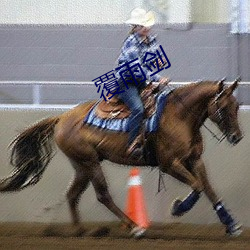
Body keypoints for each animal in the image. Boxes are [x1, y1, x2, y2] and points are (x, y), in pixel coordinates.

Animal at [0, 79, 243, 237]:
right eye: (223, 107)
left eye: (237, 105)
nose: (237, 137)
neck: (179, 116)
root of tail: (61, 117)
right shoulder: (170, 164)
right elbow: (197, 186)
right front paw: (178, 208)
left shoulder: (195, 160)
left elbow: (208, 189)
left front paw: (232, 225)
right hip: (90, 163)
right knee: (102, 195)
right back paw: (134, 226)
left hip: (82, 165)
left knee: (72, 195)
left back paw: (82, 231)